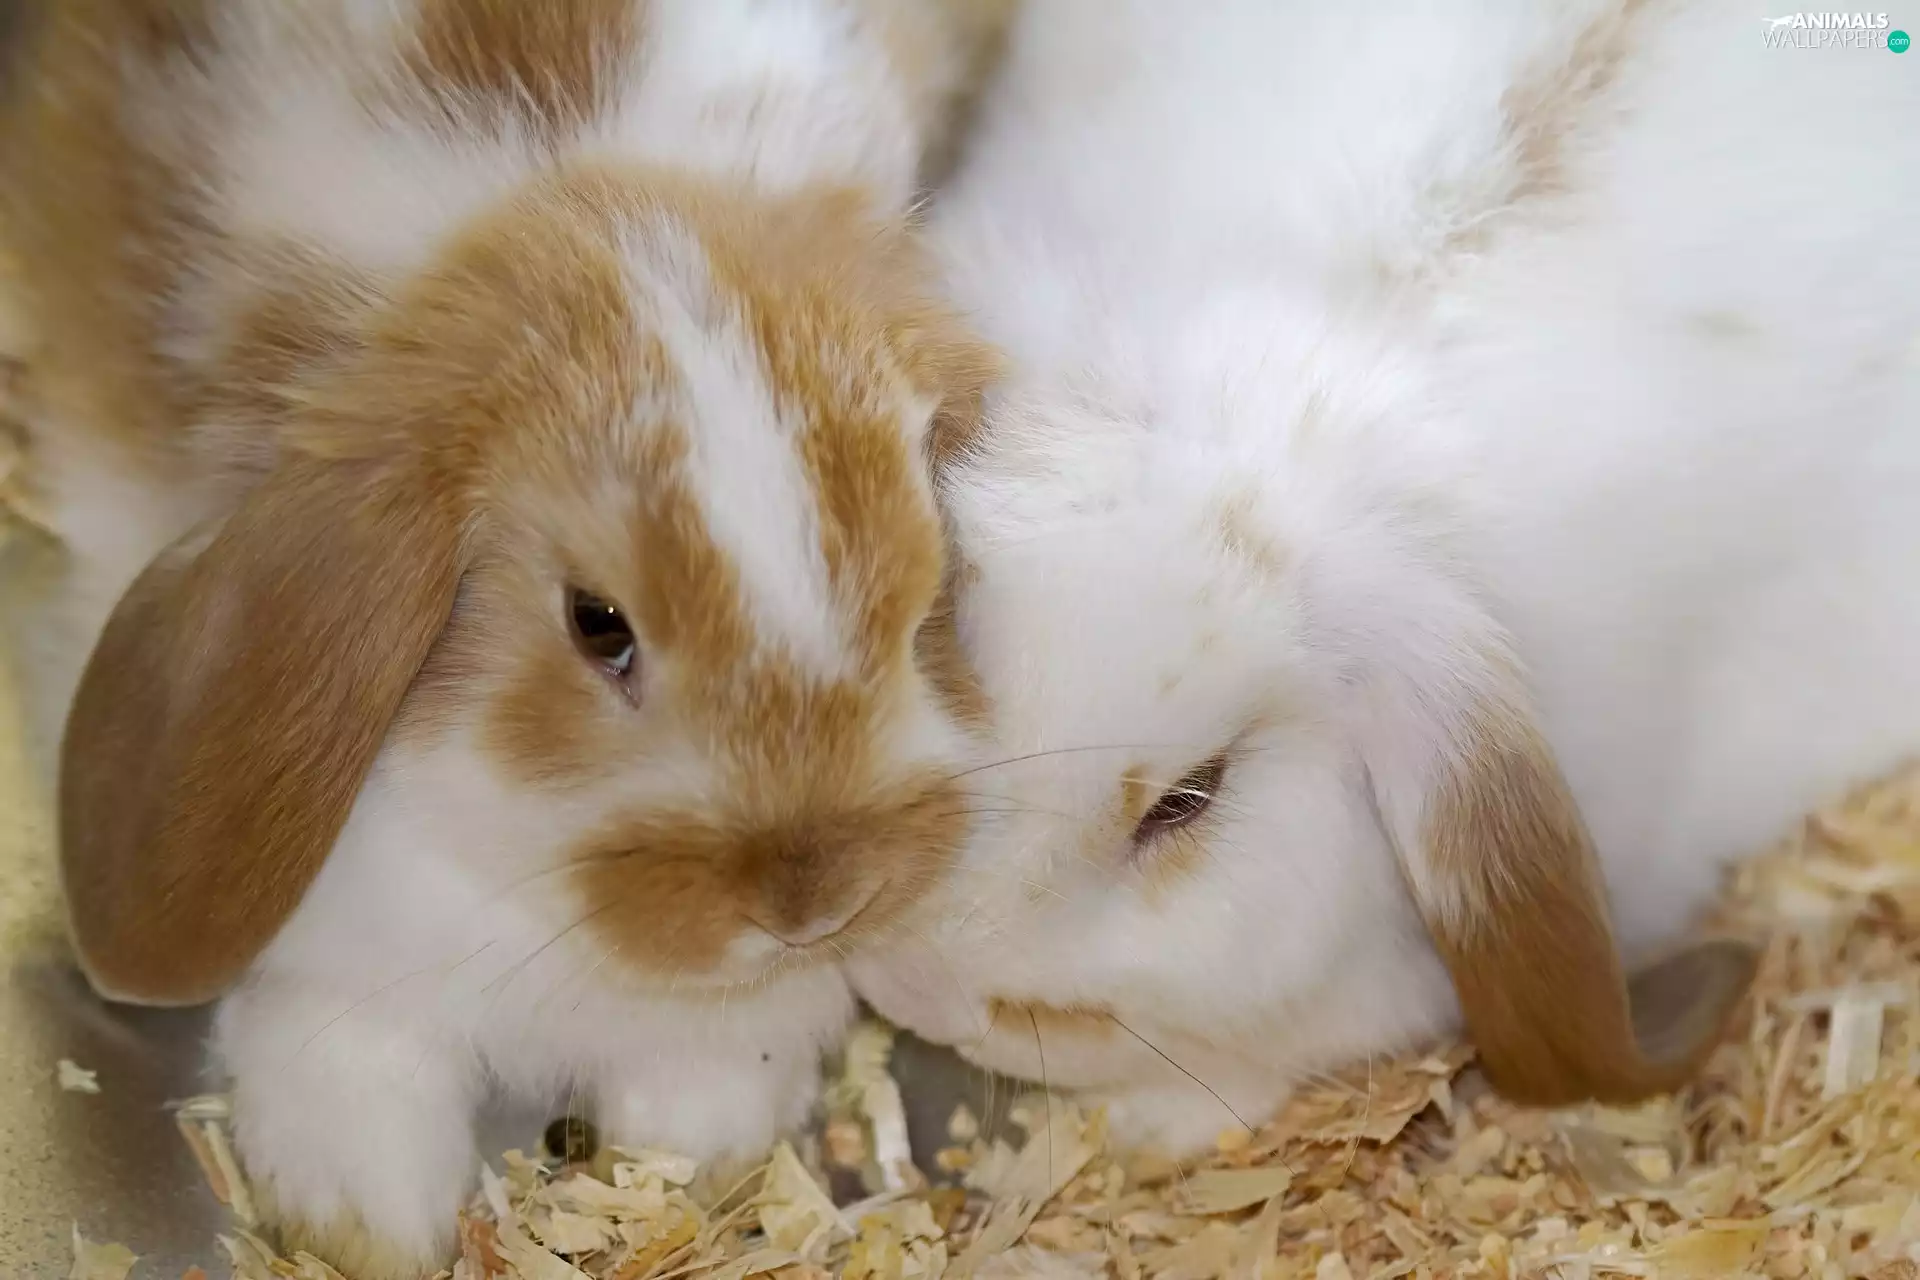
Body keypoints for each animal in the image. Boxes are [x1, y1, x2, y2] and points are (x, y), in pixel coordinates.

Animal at [0, 0, 1006, 1273]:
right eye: (598, 623)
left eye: (924, 593)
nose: (809, 902)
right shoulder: (346, 961)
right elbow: (355, 1076)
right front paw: (371, 1224)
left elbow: (707, 1089)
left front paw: (683, 1155)